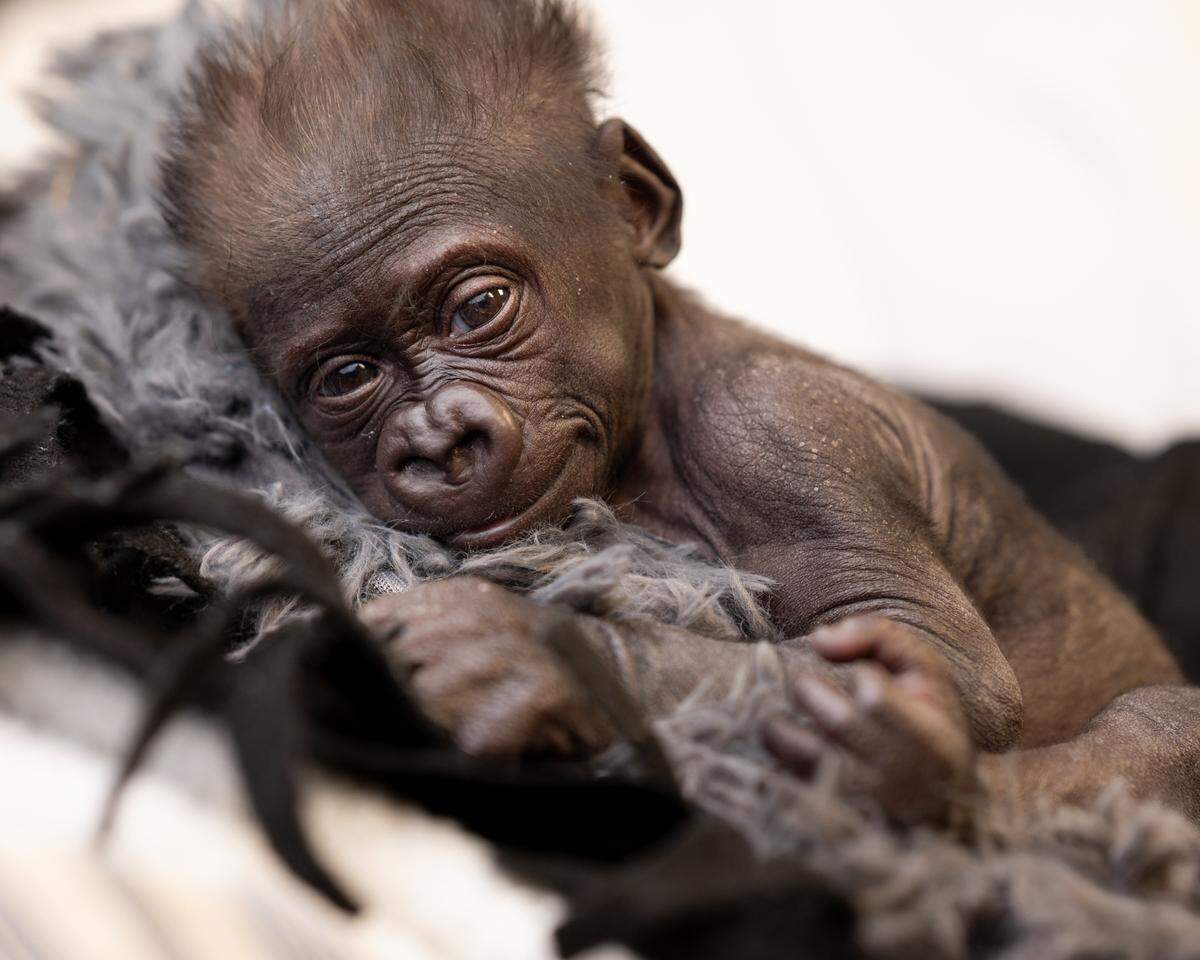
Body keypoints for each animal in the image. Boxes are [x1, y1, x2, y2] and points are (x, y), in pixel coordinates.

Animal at [160, 0, 1200, 823]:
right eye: (346, 376)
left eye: (479, 306)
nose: (440, 440)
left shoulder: (780, 432)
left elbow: (943, 669)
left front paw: (536, 659)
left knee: (1155, 727)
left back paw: (918, 784)